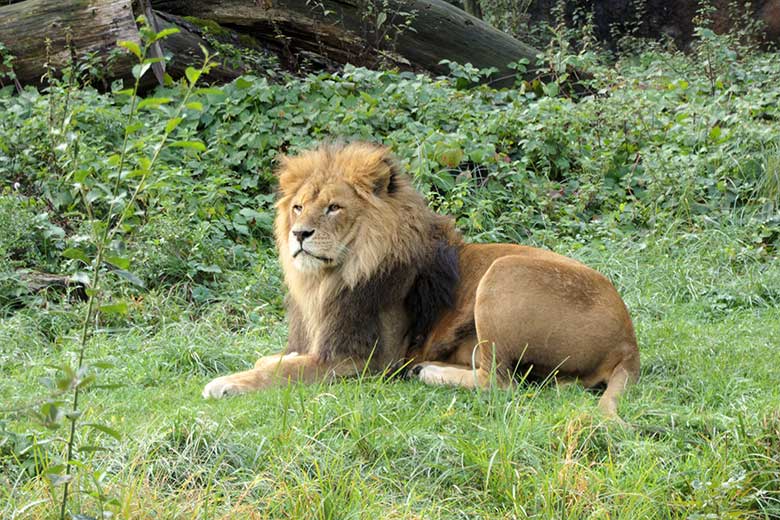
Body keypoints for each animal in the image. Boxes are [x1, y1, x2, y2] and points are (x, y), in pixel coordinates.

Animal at [203, 141, 640, 418]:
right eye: (297, 207)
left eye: (333, 208)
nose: (299, 235)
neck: (328, 279)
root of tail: (629, 343)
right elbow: (278, 357)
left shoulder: (365, 361)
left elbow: (282, 371)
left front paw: (227, 382)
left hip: (504, 272)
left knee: (500, 383)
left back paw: (429, 372)